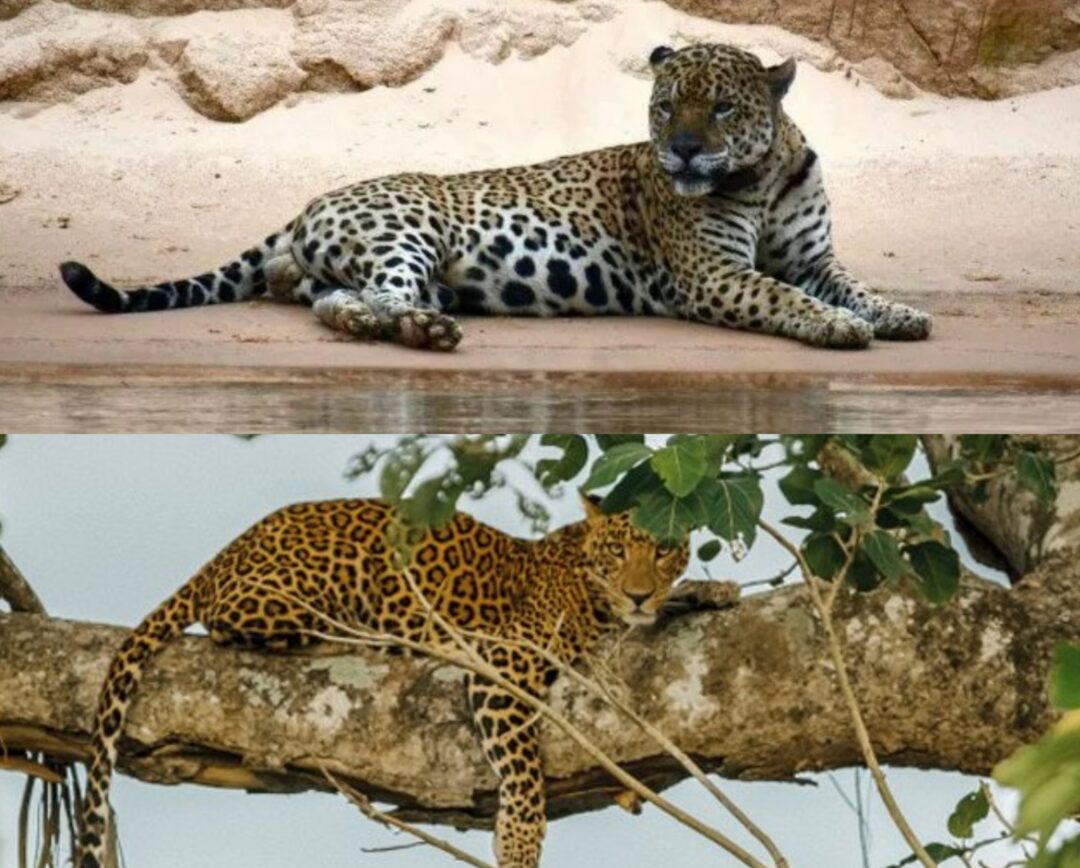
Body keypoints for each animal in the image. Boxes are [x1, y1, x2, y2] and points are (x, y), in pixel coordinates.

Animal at [58, 42, 931, 351]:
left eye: (720, 107)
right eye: (663, 107)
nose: (682, 149)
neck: (763, 176)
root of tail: (309, 204)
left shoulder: (815, 258)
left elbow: (853, 285)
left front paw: (898, 314)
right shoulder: (713, 274)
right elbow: (782, 297)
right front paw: (839, 328)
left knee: (332, 302)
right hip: (407, 230)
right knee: (375, 297)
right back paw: (423, 329)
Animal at [77, 495, 691, 868]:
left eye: (664, 549)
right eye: (617, 551)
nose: (640, 595)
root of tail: (224, 553)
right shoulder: (502, 664)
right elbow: (522, 769)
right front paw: (519, 844)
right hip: (315, 579)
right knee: (229, 621)